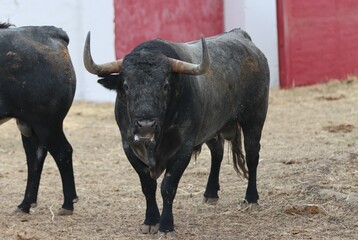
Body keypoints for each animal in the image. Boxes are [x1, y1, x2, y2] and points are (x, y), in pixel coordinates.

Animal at [0, 24, 78, 215]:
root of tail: (51, 32)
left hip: (46, 123)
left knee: (62, 152)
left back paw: (67, 204)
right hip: (30, 125)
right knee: (35, 157)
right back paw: (25, 204)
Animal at [83, 28, 268, 232]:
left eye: (165, 85)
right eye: (126, 85)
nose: (145, 126)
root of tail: (242, 36)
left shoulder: (183, 149)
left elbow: (168, 186)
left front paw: (166, 225)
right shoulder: (129, 146)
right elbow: (148, 186)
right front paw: (150, 221)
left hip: (255, 118)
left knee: (252, 156)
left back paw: (251, 199)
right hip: (211, 128)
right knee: (217, 153)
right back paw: (211, 193)